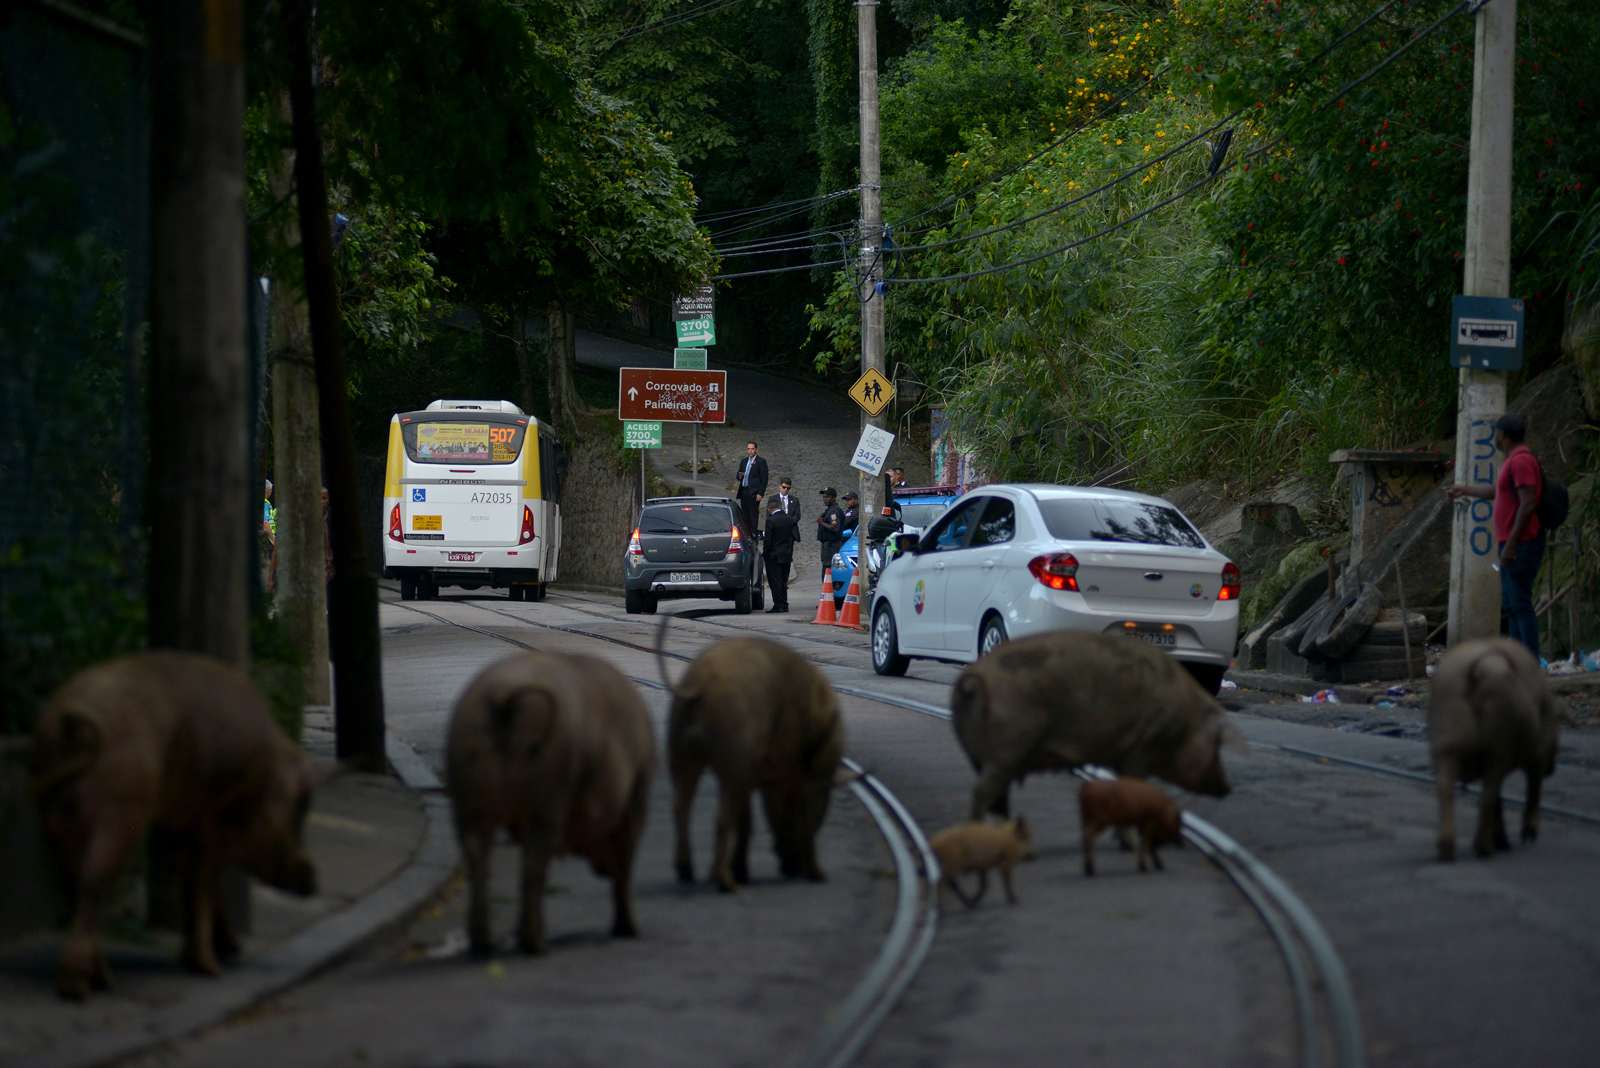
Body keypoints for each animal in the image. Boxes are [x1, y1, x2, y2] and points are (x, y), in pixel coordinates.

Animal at [30, 652, 315, 1004]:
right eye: (300, 808)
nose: (313, 880)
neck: (262, 781)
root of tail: (69, 722)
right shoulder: (213, 817)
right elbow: (205, 882)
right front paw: (212, 969)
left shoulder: (181, 819)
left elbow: (192, 880)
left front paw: (227, 950)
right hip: (119, 813)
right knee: (93, 883)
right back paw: (79, 988)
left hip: (54, 821)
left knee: (72, 887)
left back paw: (103, 980)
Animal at [444, 645, 649, 952]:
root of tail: (504, 694)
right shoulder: (636, 792)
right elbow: (625, 861)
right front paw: (630, 931)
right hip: (547, 791)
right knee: (534, 864)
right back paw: (536, 945)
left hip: (469, 790)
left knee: (479, 857)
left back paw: (485, 945)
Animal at [665, 633, 844, 895]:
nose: (790, 867)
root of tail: (702, 681)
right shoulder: (807, 776)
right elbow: (802, 817)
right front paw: (816, 872)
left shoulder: (755, 776)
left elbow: (747, 821)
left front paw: (741, 869)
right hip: (732, 753)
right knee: (721, 817)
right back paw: (725, 882)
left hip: (682, 753)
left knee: (681, 807)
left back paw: (688, 870)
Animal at [947, 629, 1235, 824]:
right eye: (1216, 744)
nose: (1227, 788)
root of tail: (972, 678)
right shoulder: (1146, 745)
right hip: (1009, 748)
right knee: (985, 794)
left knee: (997, 798)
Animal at [1427, 639, 1561, 863]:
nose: (1552, 769)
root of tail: (1477, 670)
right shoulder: (1538, 754)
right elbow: (1533, 787)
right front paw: (1527, 835)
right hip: (1497, 744)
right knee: (1489, 794)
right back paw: (1486, 848)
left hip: (1445, 739)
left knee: (1446, 788)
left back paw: (1447, 851)